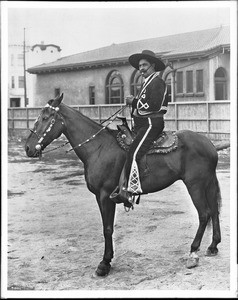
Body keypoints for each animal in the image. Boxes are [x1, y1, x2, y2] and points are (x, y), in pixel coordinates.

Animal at [24, 94, 221, 276]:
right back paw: (213, 246)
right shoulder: (101, 197)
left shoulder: (105, 196)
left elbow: (107, 229)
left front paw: (104, 263)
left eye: (45, 118)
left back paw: (193, 252)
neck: (99, 147)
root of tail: (209, 144)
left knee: (204, 214)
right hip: (208, 183)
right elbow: (107, 227)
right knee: (214, 211)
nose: (28, 148)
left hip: (195, 185)